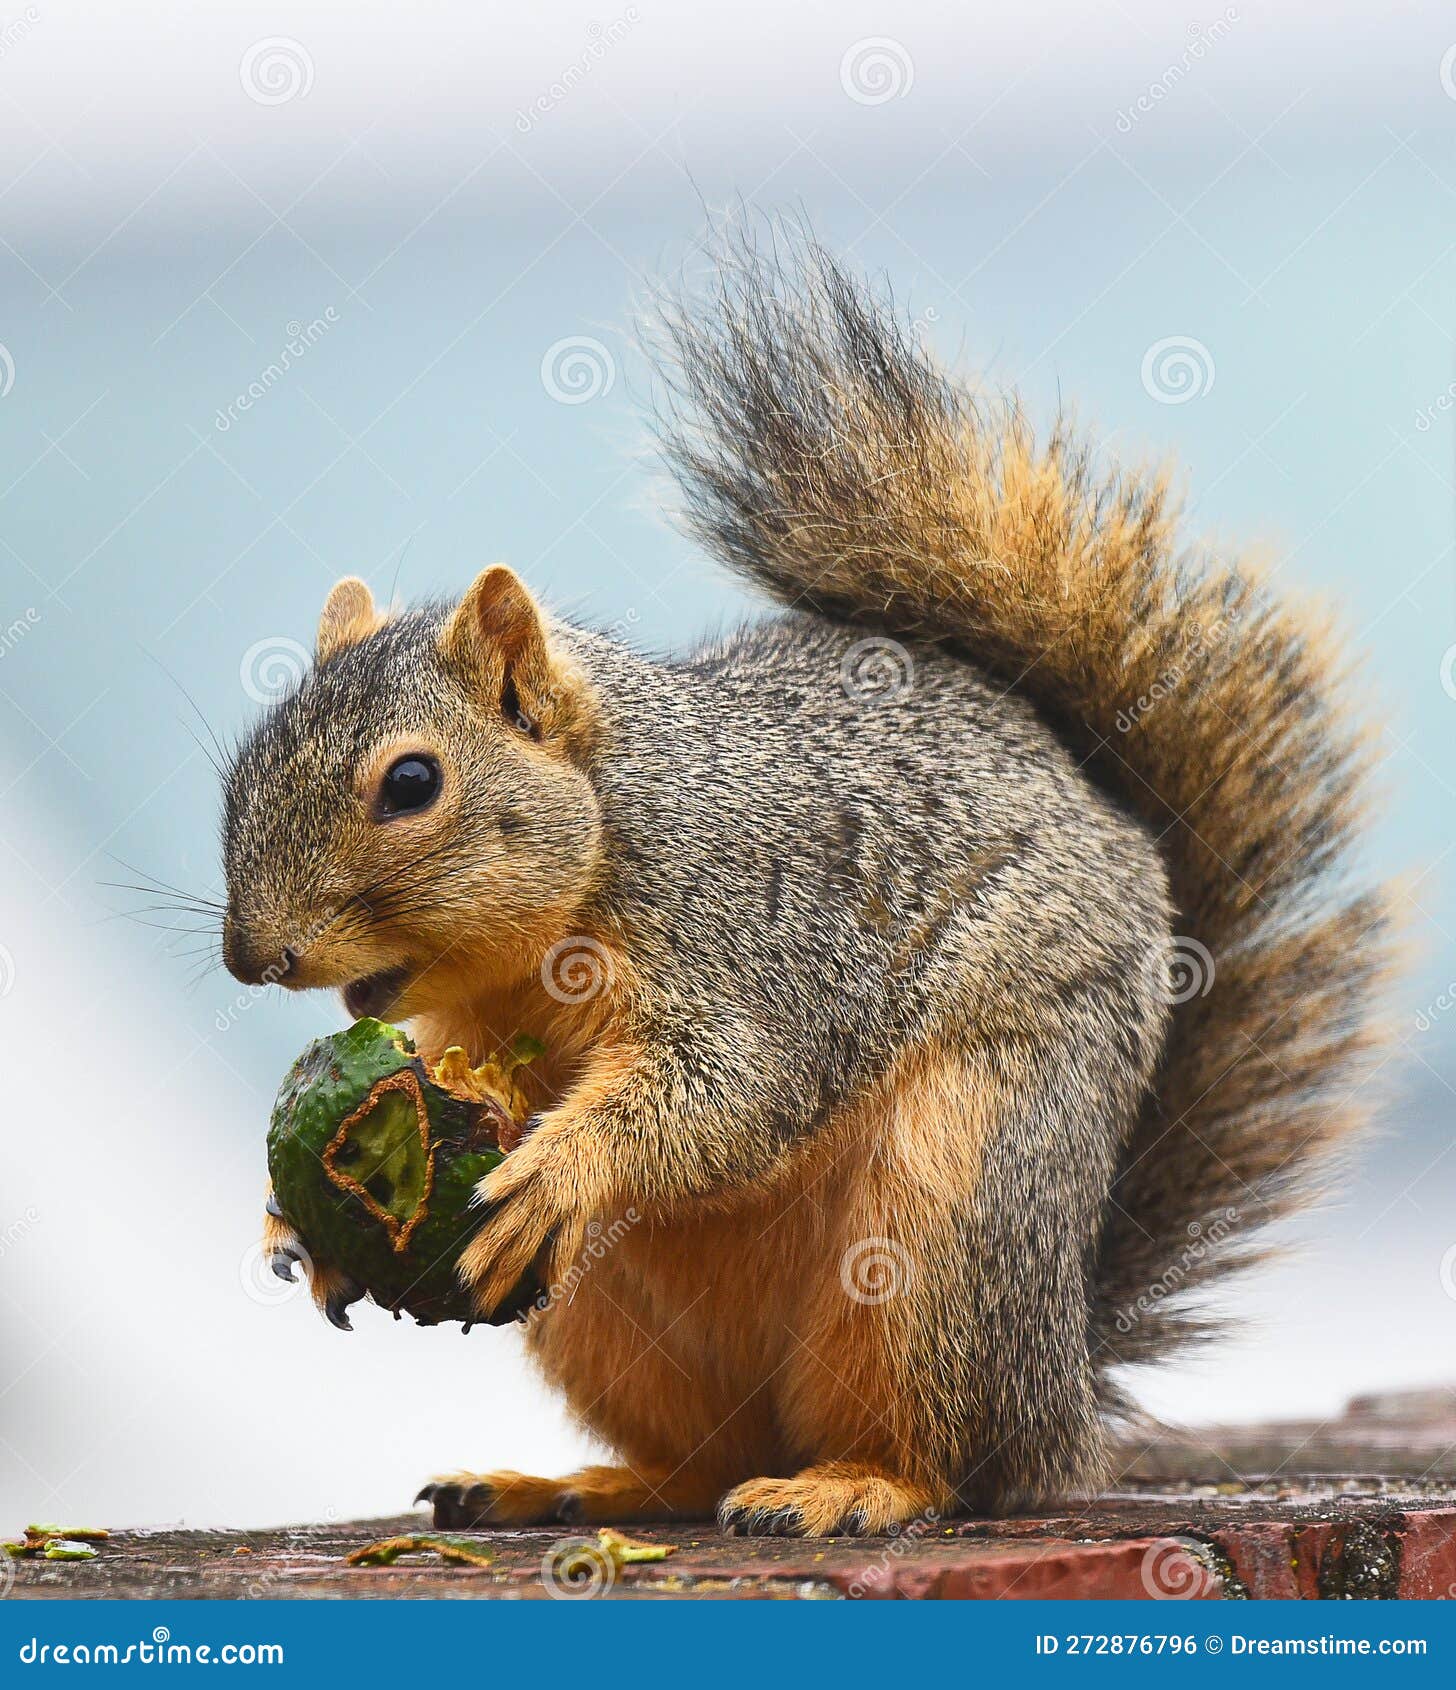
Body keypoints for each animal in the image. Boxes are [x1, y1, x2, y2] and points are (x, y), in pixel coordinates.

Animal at [223, 233, 1394, 1536]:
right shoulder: (468, 1022)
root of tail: (1063, 1389)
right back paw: (566, 1483)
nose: (252, 955)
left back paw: (853, 1485)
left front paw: (566, 1163)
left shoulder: (756, 939)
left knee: (947, 1454)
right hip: (602, 1320)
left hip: (952, 1210)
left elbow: (733, 1088)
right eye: (251, 749)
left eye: (412, 782)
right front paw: (292, 1218)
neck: (603, 846)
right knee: (696, 1462)